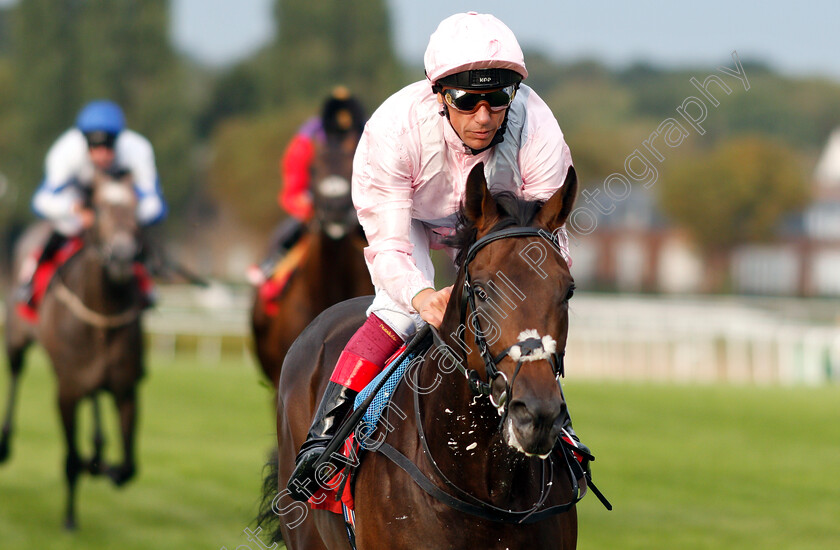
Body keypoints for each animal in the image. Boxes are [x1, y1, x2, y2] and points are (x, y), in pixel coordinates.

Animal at [1, 171, 146, 532]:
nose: (123, 255)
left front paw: (103, 466)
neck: (103, 314)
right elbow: (69, 458)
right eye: (100, 208)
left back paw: (97, 452)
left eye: (136, 208)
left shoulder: (126, 389)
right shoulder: (65, 392)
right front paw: (69, 517)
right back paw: (5, 443)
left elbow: (127, 468)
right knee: (15, 374)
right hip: (17, 340)